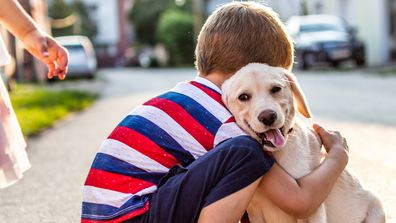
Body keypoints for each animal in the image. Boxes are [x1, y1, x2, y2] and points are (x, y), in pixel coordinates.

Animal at [221, 63, 386, 223]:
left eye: (276, 89)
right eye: (243, 97)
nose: (268, 117)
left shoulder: (313, 205)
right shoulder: (256, 211)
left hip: (376, 206)